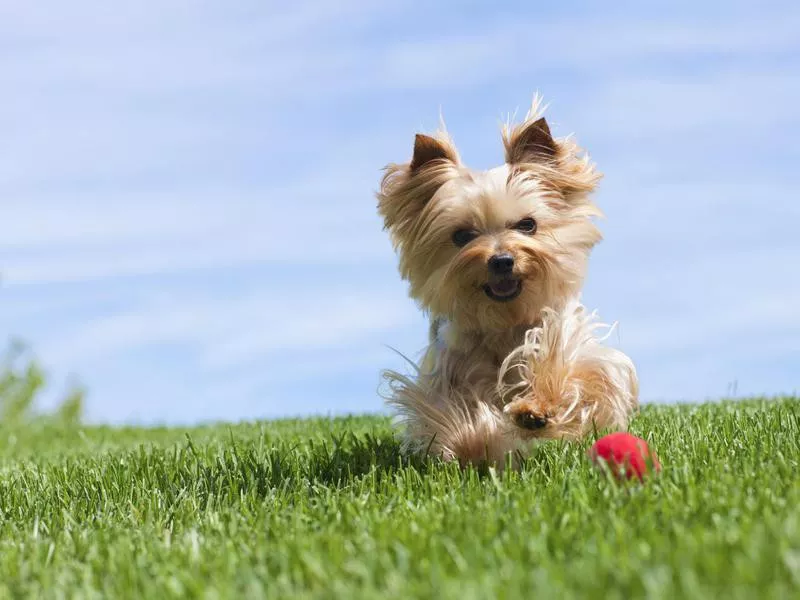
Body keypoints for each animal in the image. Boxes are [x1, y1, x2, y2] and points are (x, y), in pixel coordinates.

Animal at [376, 96, 636, 466]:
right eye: (462, 236)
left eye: (528, 225)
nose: (501, 260)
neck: (504, 320)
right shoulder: (450, 369)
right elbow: (453, 413)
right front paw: (477, 442)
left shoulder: (569, 339)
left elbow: (577, 372)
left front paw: (537, 409)